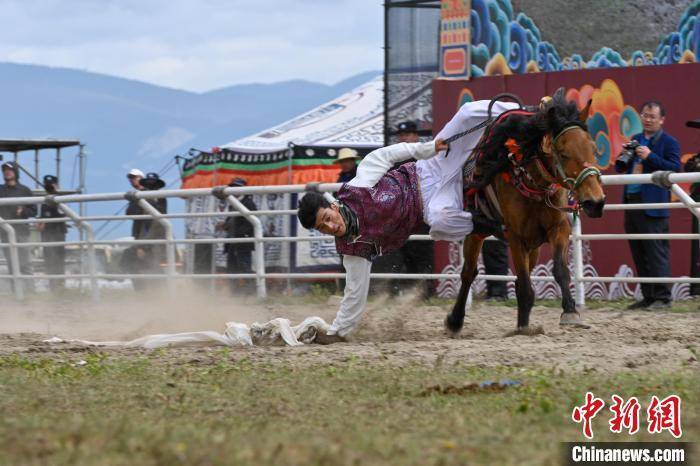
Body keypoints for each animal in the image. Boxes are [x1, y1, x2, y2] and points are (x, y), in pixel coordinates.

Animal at [448, 88, 608, 334]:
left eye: (593, 148)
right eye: (563, 153)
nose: (595, 202)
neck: (534, 181)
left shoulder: (558, 228)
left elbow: (560, 270)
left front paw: (570, 311)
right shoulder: (516, 236)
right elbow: (524, 283)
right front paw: (523, 327)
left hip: (533, 244)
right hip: (476, 232)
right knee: (468, 273)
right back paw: (455, 320)